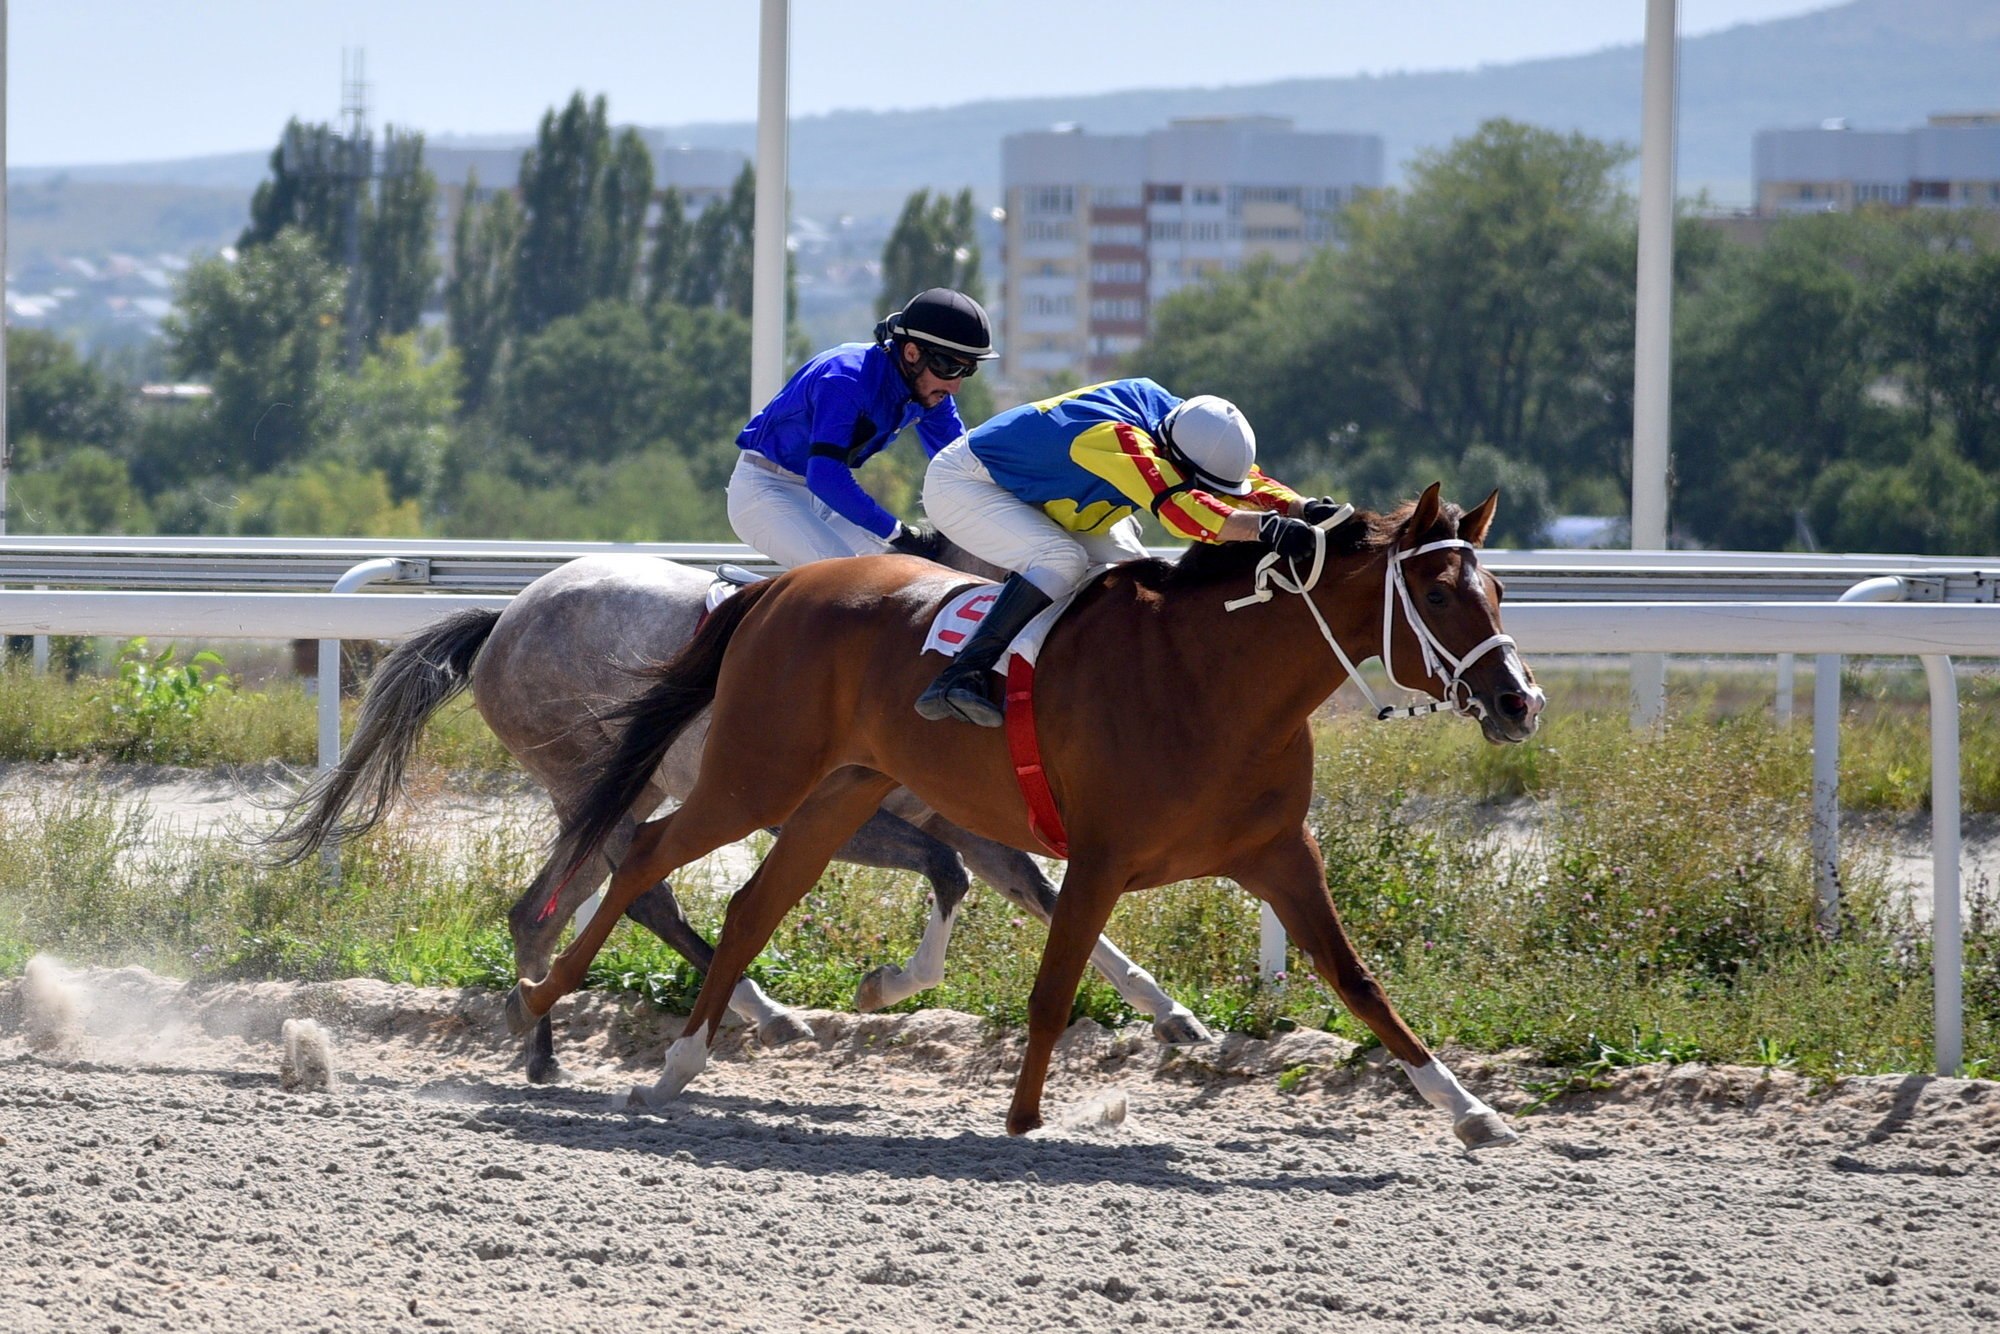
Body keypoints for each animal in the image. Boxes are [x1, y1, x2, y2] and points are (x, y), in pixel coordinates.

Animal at [266, 556, 1200, 1088]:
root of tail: (507, 616)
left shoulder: (963, 818)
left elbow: (1040, 893)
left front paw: (1173, 1013)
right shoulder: (844, 814)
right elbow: (955, 874)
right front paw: (880, 987)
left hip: (623, 786)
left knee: (542, 907)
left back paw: (541, 1040)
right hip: (593, 779)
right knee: (636, 894)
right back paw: (758, 1012)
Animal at [508, 488, 1536, 1152]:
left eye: (1498, 591)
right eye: (1436, 593)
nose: (1519, 702)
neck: (1214, 678)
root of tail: (777, 587)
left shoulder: (1280, 854)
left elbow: (1359, 982)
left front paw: (1469, 1111)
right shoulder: (1101, 856)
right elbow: (1052, 987)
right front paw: (1023, 1119)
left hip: (839, 792)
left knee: (752, 903)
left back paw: (680, 1062)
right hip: (755, 776)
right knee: (645, 856)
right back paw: (543, 999)